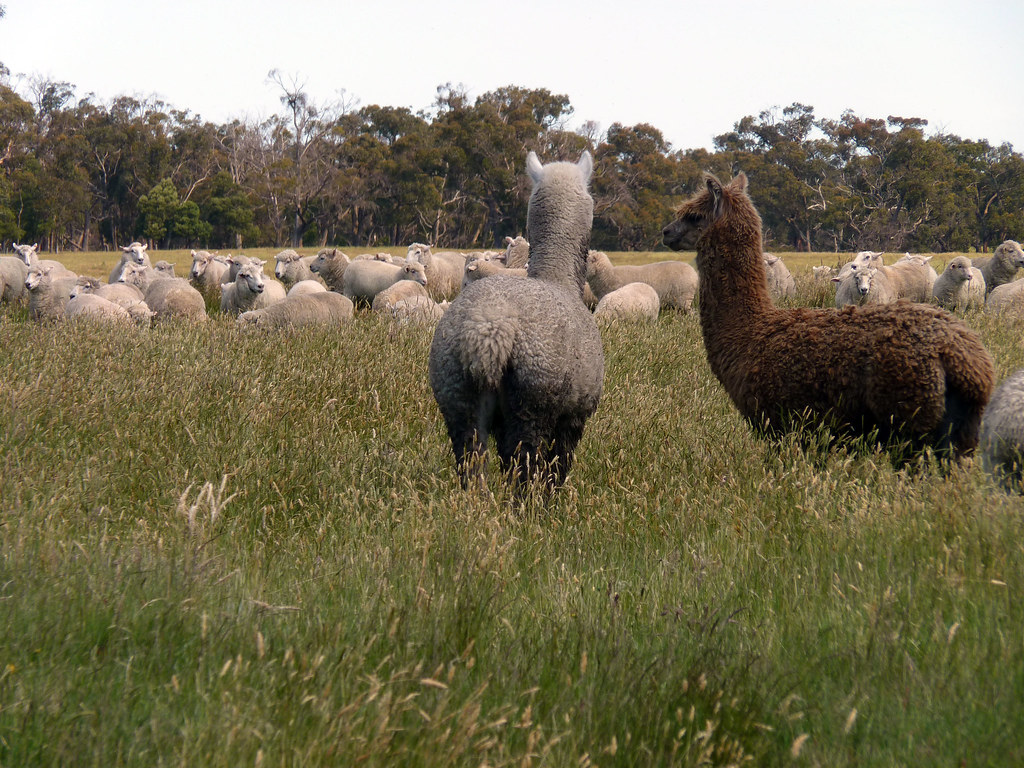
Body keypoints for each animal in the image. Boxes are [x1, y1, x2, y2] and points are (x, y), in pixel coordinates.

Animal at [429, 150, 603, 490]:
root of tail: (489, 329)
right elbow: (558, 467)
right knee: (527, 470)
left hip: (457, 397)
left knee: (473, 471)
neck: (557, 278)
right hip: (533, 399)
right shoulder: (575, 415)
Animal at [661, 171, 994, 459]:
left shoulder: (777, 426)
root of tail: (965, 360)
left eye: (692, 215)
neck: (749, 332)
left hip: (912, 426)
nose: (665, 233)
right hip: (959, 435)